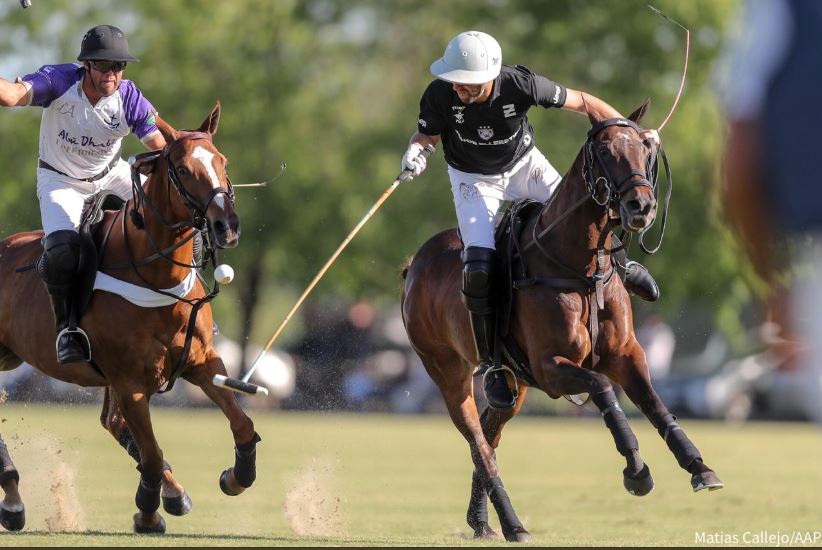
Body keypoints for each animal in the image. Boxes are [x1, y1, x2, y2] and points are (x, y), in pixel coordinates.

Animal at [0, 103, 260, 536]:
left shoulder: (202, 362)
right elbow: (151, 454)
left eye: (222, 161)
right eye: (183, 169)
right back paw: (13, 500)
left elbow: (242, 425)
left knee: (112, 421)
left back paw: (175, 492)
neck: (157, 278)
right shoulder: (130, 382)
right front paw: (147, 511)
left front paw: (234, 477)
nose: (228, 226)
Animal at [402, 101, 724, 544]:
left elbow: (655, 404)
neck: (581, 268)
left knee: (489, 433)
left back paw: (482, 521)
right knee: (480, 445)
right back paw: (514, 524)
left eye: (645, 148)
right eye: (604, 151)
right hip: (448, 373)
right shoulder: (550, 367)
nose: (642, 207)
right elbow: (602, 387)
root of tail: (414, 264)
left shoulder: (626, 353)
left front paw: (699, 468)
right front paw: (636, 471)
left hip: (514, 387)